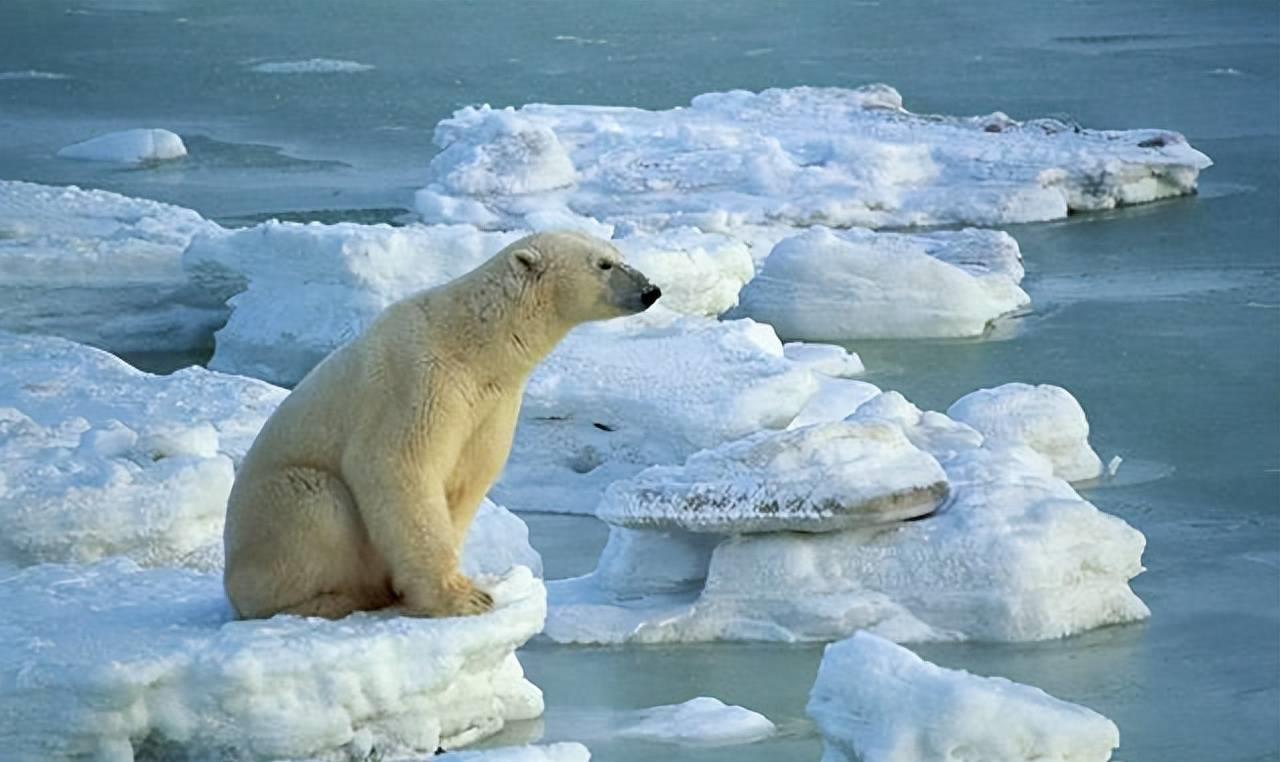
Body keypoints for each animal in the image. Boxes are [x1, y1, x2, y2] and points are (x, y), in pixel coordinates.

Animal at [224, 233, 660, 619]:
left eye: (618, 255)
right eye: (603, 264)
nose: (651, 290)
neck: (472, 343)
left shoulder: (492, 405)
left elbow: (467, 478)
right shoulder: (417, 384)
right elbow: (396, 468)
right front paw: (463, 598)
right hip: (270, 516)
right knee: (317, 502)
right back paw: (338, 599)